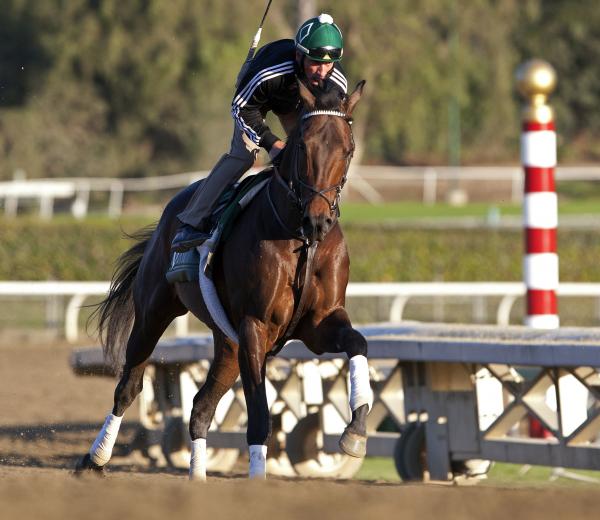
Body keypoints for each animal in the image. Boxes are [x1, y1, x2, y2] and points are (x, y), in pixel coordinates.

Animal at [75, 79, 370, 482]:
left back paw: (197, 477)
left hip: (228, 343)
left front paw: (355, 430)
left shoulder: (319, 323)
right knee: (129, 386)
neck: (300, 239)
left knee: (201, 406)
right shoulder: (255, 326)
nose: (318, 220)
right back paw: (95, 458)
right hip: (155, 312)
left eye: (348, 149)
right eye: (303, 146)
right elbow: (259, 413)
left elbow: (358, 343)